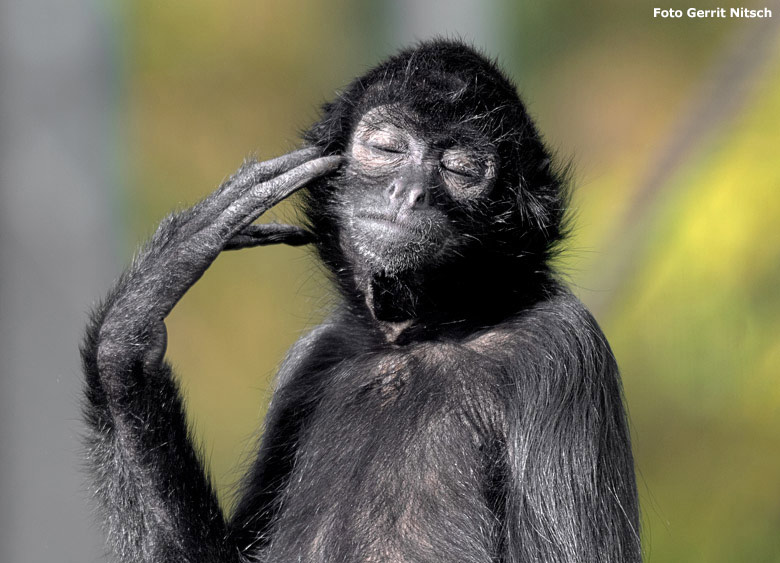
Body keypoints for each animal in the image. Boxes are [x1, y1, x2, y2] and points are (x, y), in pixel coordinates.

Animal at [80, 41, 640, 563]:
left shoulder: (560, 345)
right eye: (388, 148)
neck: (412, 341)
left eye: (461, 168)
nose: (409, 191)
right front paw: (131, 332)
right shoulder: (315, 357)